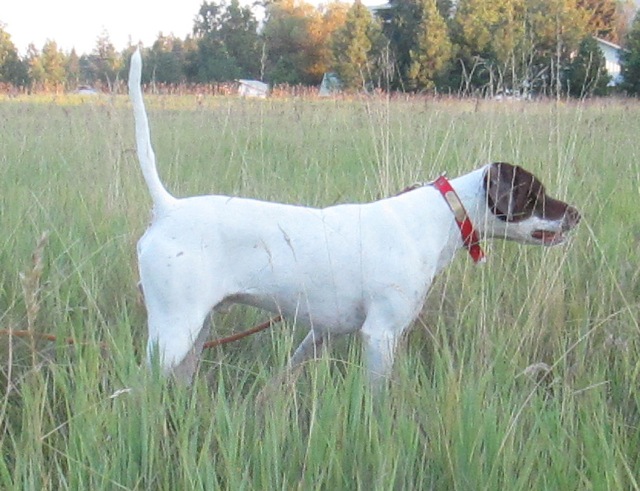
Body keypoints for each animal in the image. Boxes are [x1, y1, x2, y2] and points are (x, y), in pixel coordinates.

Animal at [126, 51, 580, 388]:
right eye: (535, 194)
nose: (577, 215)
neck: (440, 217)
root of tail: (168, 207)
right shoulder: (380, 334)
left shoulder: (321, 333)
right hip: (174, 330)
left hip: (196, 332)